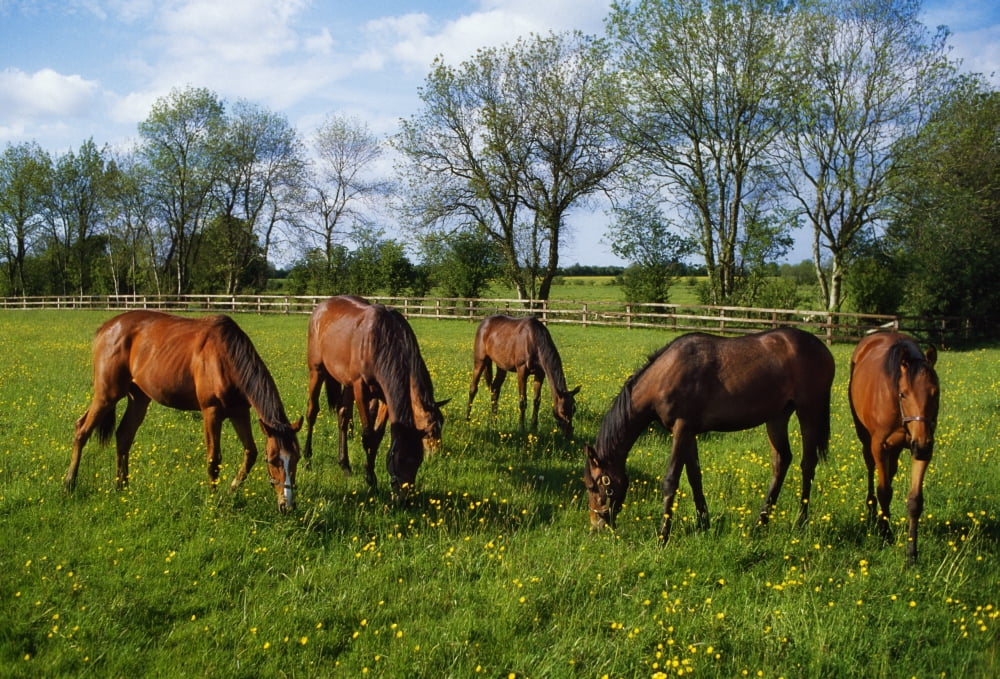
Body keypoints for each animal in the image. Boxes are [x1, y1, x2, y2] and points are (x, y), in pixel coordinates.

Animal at [64, 311, 303, 512]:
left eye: (297, 458)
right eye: (273, 460)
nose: (287, 506)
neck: (226, 357)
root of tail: (106, 328)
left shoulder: (239, 412)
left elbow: (250, 453)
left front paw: (229, 492)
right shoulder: (211, 412)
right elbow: (213, 459)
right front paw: (212, 500)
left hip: (138, 397)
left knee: (123, 436)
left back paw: (122, 487)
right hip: (107, 394)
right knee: (81, 430)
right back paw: (69, 483)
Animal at [303, 295, 447, 500]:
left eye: (417, 461)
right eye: (400, 459)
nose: (404, 498)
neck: (382, 341)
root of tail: (321, 306)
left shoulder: (384, 396)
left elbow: (377, 437)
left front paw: (370, 475)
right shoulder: (361, 389)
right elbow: (368, 437)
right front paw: (371, 481)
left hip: (346, 383)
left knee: (343, 415)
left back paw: (345, 465)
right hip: (317, 371)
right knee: (312, 412)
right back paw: (307, 459)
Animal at [584, 327, 835, 543]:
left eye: (594, 486)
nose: (596, 525)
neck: (665, 374)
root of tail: (822, 348)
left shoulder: (682, 428)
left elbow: (671, 480)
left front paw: (663, 536)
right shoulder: (690, 432)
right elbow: (695, 476)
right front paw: (703, 523)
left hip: (808, 410)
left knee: (808, 463)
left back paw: (800, 521)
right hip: (777, 417)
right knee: (781, 461)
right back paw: (761, 522)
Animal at [848, 331, 939, 564]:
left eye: (935, 392)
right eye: (903, 394)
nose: (922, 445)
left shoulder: (922, 448)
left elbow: (915, 500)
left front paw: (911, 553)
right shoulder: (879, 446)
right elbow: (884, 491)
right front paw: (885, 534)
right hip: (866, 439)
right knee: (871, 467)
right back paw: (872, 511)